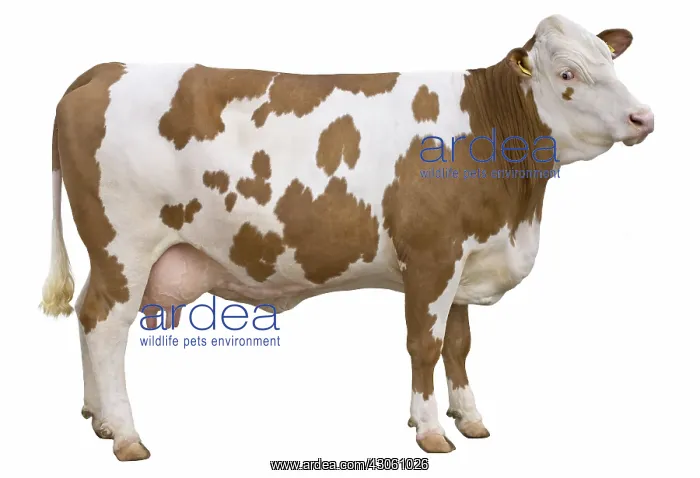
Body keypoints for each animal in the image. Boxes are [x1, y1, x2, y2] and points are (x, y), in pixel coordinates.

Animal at [40, 14, 654, 461]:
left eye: (610, 59)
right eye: (568, 74)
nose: (642, 117)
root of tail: (103, 70)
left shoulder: (466, 256)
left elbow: (458, 345)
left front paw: (471, 418)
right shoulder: (432, 256)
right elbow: (424, 344)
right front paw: (430, 430)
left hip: (109, 253)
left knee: (85, 314)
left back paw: (98, 419)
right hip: (126, 246)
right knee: (105, 325)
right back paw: (126, 435)